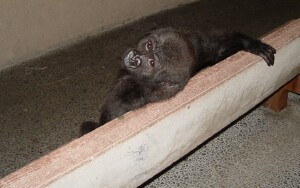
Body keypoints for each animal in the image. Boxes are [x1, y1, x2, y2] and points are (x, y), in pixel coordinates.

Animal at [80, 27, 276, 134]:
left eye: (151, 63)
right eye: (148, 45)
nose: (135, 58)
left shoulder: (126, 93)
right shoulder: (196, 45)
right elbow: (215, 47)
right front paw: (252, 44)